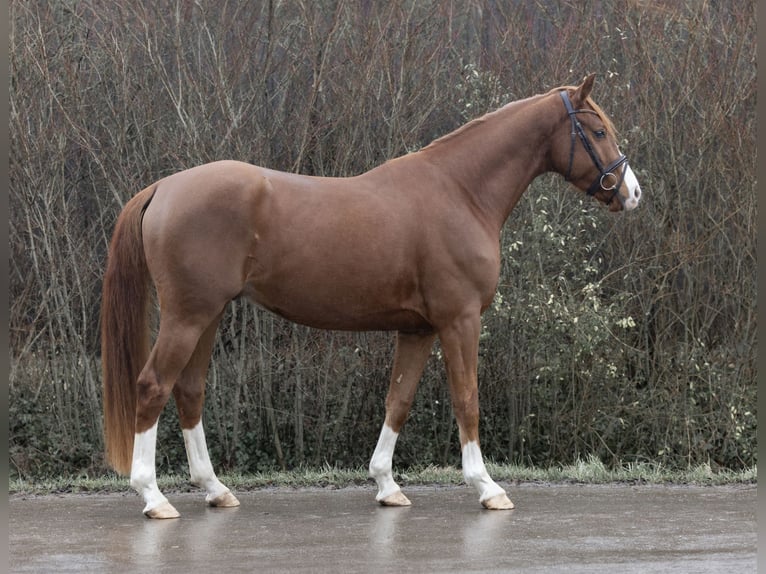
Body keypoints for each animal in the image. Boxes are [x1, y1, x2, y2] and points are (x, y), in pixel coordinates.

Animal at [102, 74, 640, 520]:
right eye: (596, 131)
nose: (631, 192)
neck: (461, 191)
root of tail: (163, 187)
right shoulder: (460, 320)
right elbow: (467, 398)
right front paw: (487, 487)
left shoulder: (418, 328)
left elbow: (397, 399)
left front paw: (387, 485)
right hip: (187, 316)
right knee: (152, 385)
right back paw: (153, 496)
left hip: (207, 315)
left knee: (189, 390)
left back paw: (215, 489)